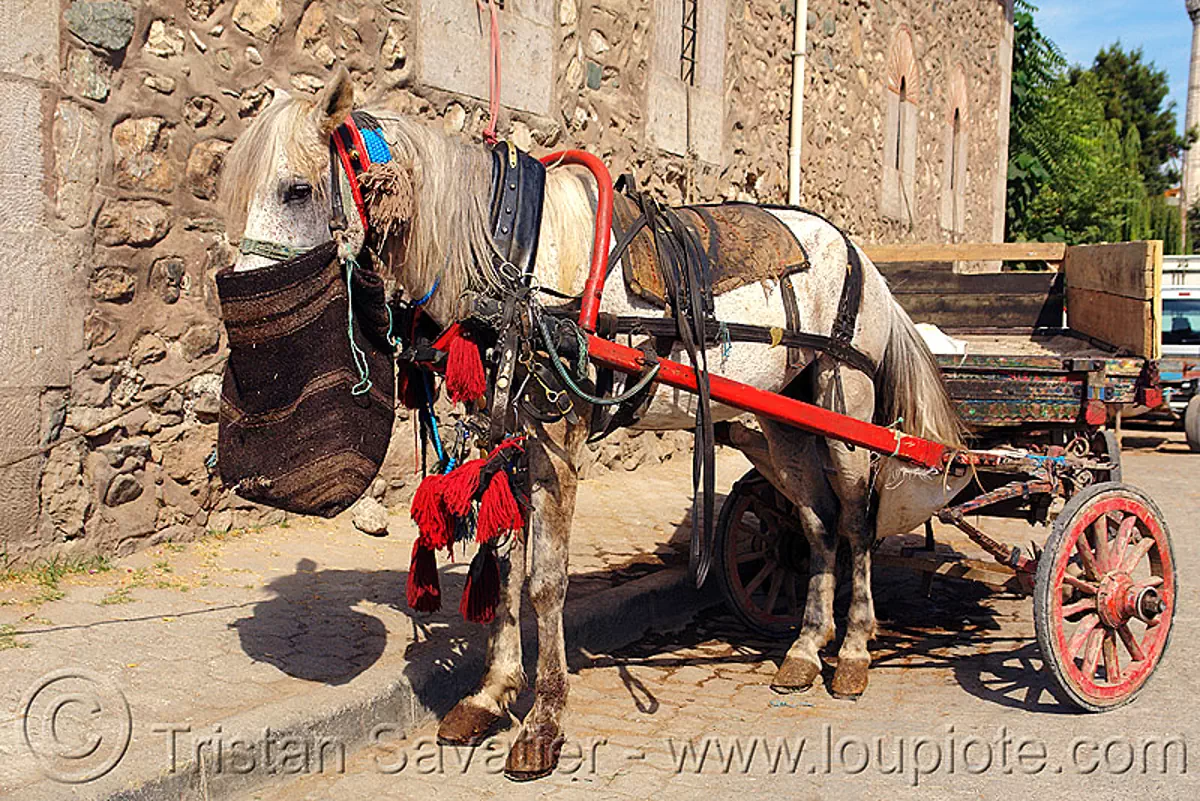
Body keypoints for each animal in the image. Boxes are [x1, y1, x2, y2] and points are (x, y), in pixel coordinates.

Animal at [225, 73, 969, 777]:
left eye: (296, 190)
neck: (513, 256)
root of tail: (861, 258)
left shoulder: (559, 440)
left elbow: (543, 581)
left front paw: (543, 722)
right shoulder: (509, 434)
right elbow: (502, 567)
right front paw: (490, 694)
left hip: (847, 414)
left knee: (855, 522)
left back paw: (853, 652)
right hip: (774, 423)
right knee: (814, 522)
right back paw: (805, 649)